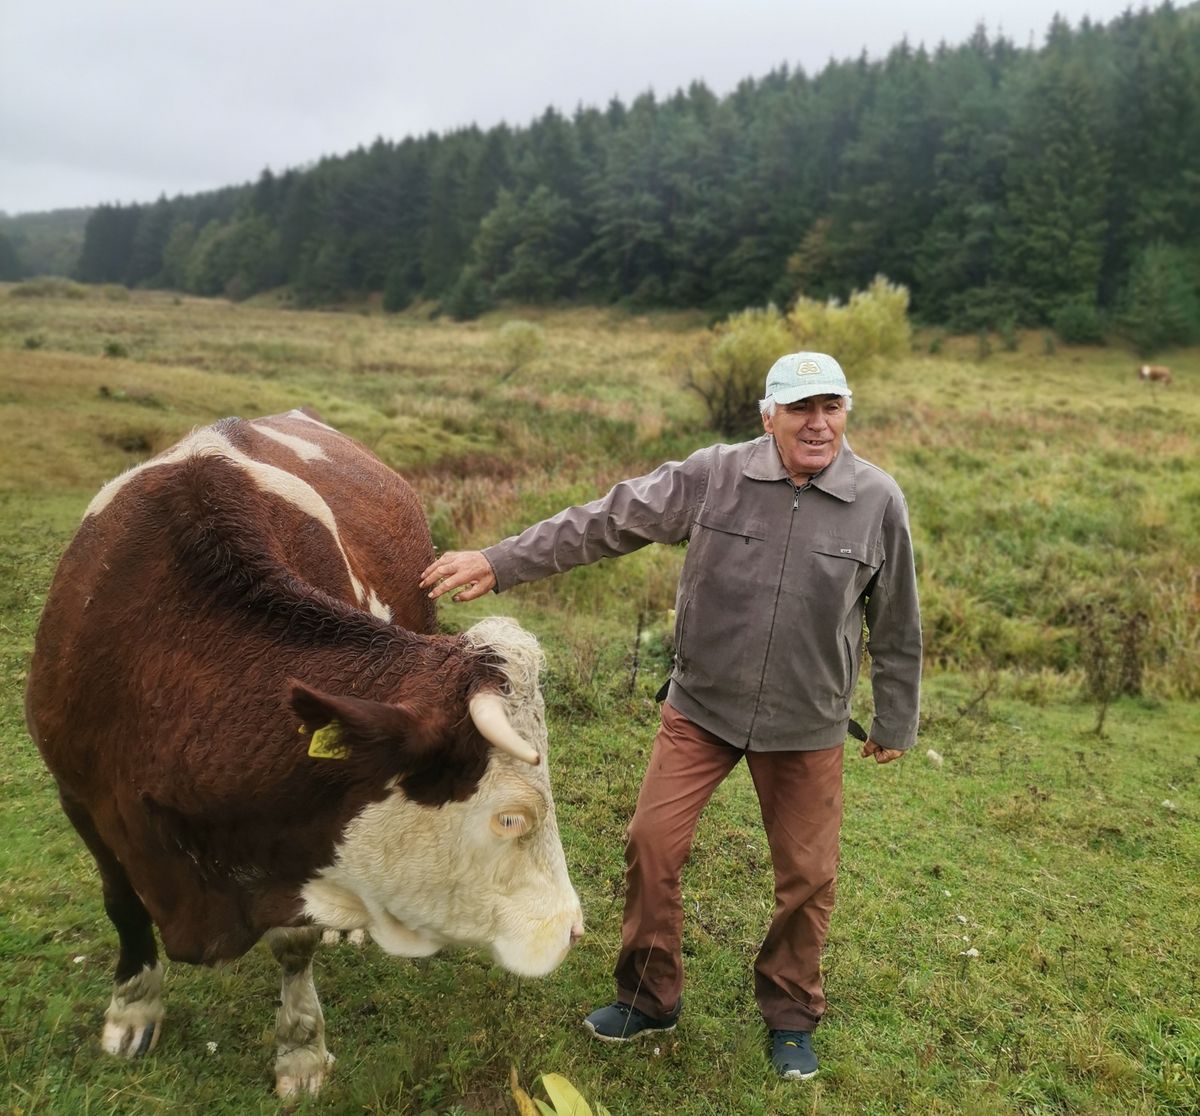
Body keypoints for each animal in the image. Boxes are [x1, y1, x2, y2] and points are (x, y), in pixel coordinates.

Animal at [24, 408, 585, 1094]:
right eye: (510, 819)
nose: (573, 928)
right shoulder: (79, 795)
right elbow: (119, 903)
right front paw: (133, 1008)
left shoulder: (297, 818)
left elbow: (294, 942)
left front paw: (299, 1050)